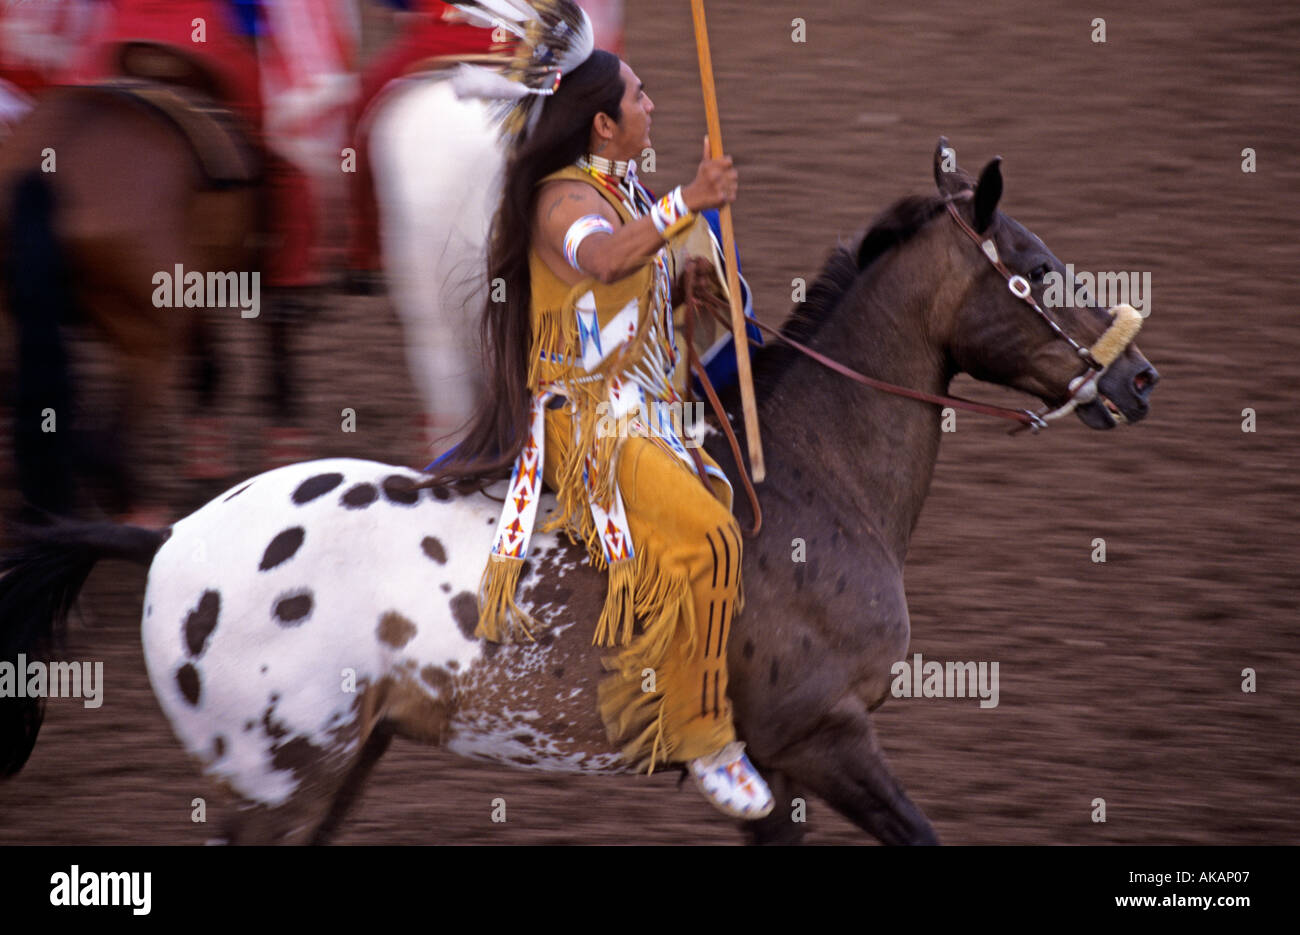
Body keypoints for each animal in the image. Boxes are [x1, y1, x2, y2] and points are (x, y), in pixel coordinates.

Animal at [0, 141, 1159, 847]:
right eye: (1035, 267)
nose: (1139, 375)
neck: (812, 484)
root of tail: (167, 538)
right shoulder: (822, 736)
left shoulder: (774, 770)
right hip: (277, 776)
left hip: (340, 762)